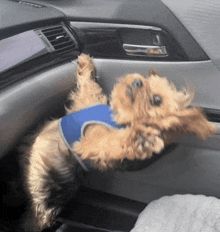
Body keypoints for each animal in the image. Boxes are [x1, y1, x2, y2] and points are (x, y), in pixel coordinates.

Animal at [21, 54, 217, 230]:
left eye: (157, 100)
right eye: (146, 80)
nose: (138, 81)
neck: (119, 118)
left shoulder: (91, 144)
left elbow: (112, 141)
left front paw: (140, 139)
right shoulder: (88, 102)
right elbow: (89, 87)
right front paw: (85, 63)